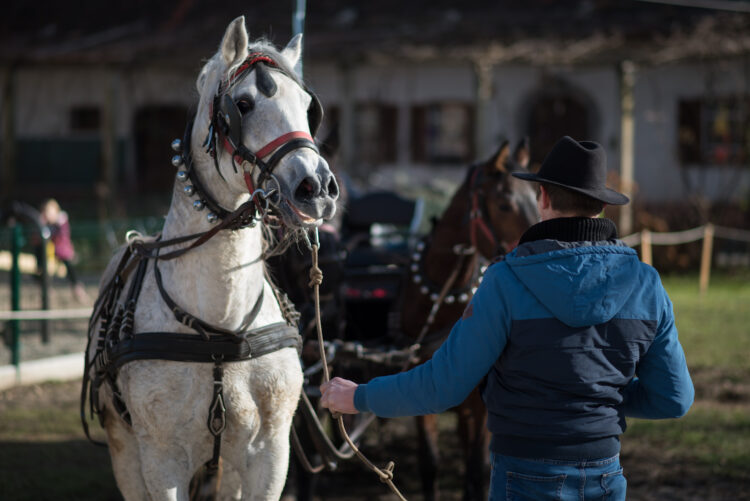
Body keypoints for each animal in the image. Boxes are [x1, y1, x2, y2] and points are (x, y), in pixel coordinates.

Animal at [83, 17, 340, 498]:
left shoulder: (270, 456)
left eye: (306, 107)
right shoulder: (161, 463)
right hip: (126, 453)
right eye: (243, 104)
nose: (317, 187)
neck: (221, 327)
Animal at [400, 138, 540, 500]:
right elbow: (430, 462)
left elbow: (477, 468)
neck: (444, 297)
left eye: (537, 198)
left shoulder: (481, 403)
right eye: (504, 204)